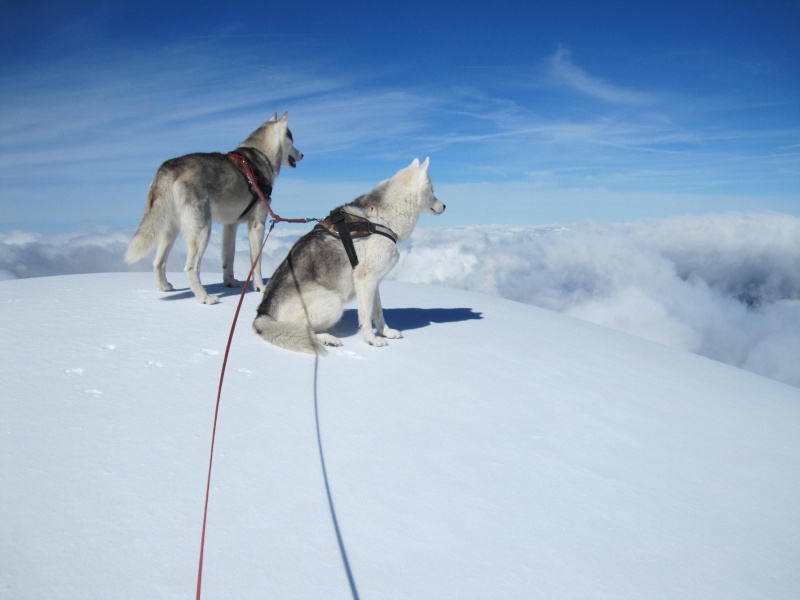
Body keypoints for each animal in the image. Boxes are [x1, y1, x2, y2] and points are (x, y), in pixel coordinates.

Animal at [125, 111, 304, 304]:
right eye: (292, 140)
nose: (302, 154)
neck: (261, 155)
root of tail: (170, 166)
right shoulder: (257, 224)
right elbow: (256, 262)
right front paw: (260, 287)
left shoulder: (230, 225)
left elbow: (229, 258)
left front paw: (230, 282)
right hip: (202, 229)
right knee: (190, 268)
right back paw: (204, 297)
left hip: (170, 229)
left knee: (158, 262)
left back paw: (165, 287)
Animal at [253, 159, 444, 356]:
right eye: (433, 191)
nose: (444, 206)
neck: (382, 218)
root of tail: (263, 313)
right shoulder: (365, 279)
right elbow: (366, 316)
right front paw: (371, 340)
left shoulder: (373, 282)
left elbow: (378, 312)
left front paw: (386, 332)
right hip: (333, 303)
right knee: (304, 329)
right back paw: (327, 338)